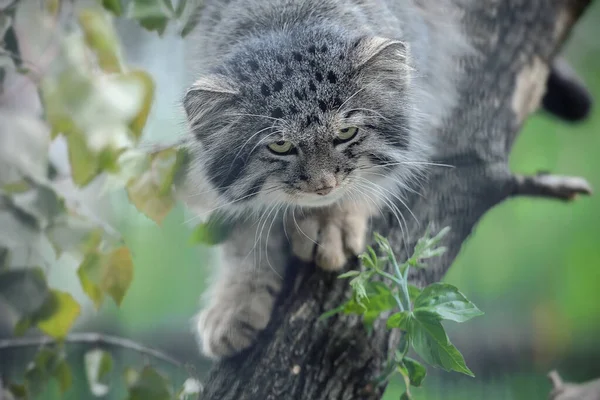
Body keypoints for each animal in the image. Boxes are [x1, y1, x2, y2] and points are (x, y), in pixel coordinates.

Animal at [180, 0, 472, 360]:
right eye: (280, 146)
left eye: (346, 132)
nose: (323, 186)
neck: (286, 18)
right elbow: (243, 232)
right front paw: (236, 301)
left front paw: (333, 221)